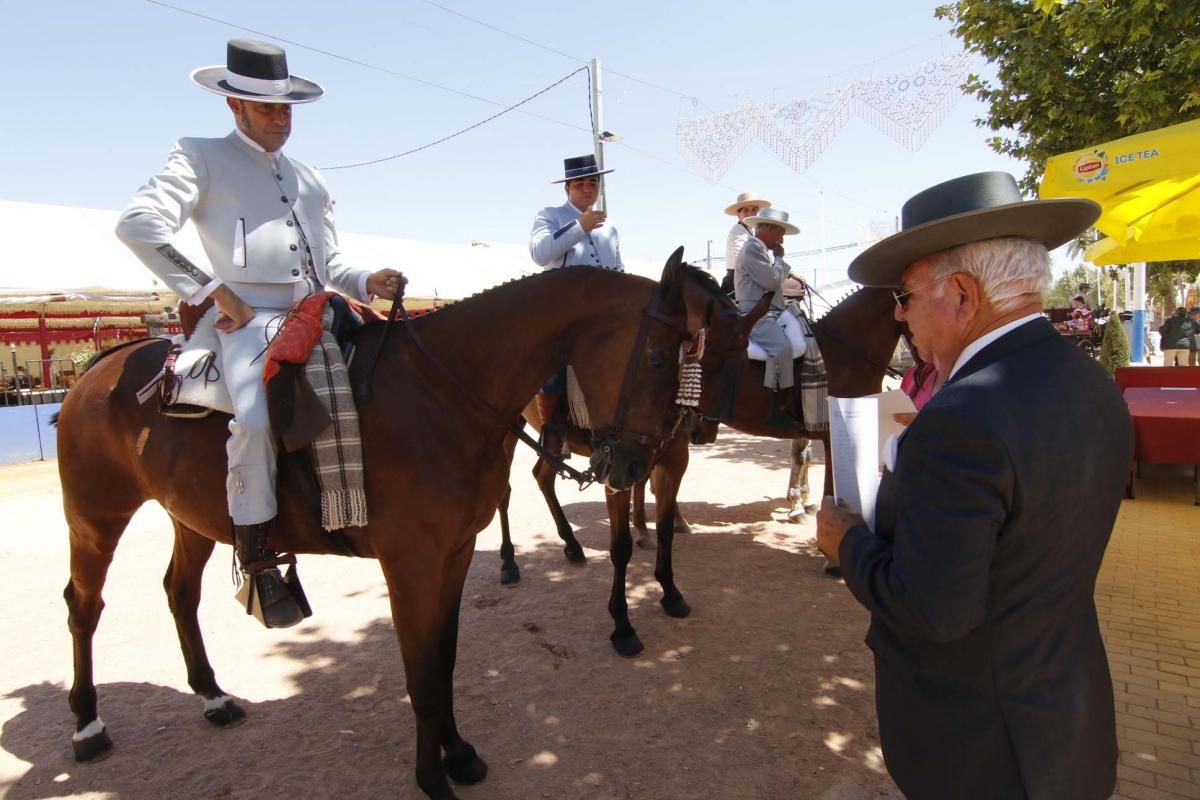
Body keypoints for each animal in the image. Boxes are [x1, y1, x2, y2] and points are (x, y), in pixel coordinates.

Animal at [58, 260, 700, 796]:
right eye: (658, 358)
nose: (635, 466)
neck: (440, 393)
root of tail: (103, 366)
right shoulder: (411, 566)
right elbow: (421, 676)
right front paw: (432, 780)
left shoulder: (455, 553)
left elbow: (444, 661)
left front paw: (457, 754)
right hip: (95, 519)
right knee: (83, 606)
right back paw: (88, 726)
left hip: (190, 519)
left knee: (179, 591)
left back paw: (213, 697)